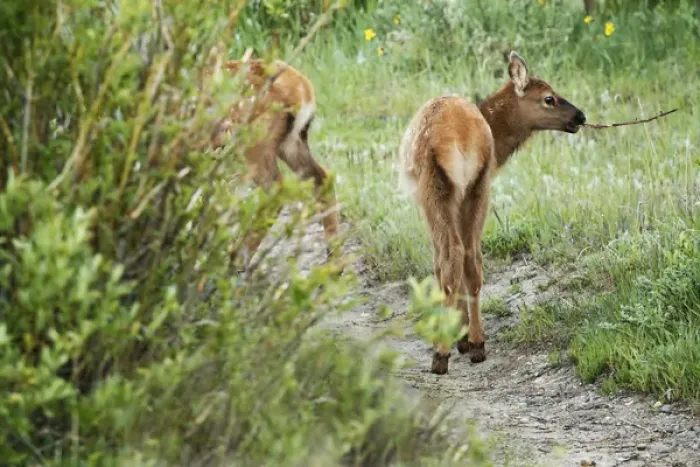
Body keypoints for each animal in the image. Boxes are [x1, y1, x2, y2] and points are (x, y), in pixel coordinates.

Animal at [207, 57, 340, 269]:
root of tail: (304, 89)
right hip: (291, 141)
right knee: (322, 177)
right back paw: (334, 265)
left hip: (254, 141)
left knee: (276, 188)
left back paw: (236, 258)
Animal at [398, 51, 586, 375]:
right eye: (549, 98)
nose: (581, 116)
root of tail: (462, 137)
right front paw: (463, 336)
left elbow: (438, 264)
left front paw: (454, 335)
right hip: (478, 186)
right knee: (471, 256)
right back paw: (477, 344)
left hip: (436, 188)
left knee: (452, 256)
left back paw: (442, 353)